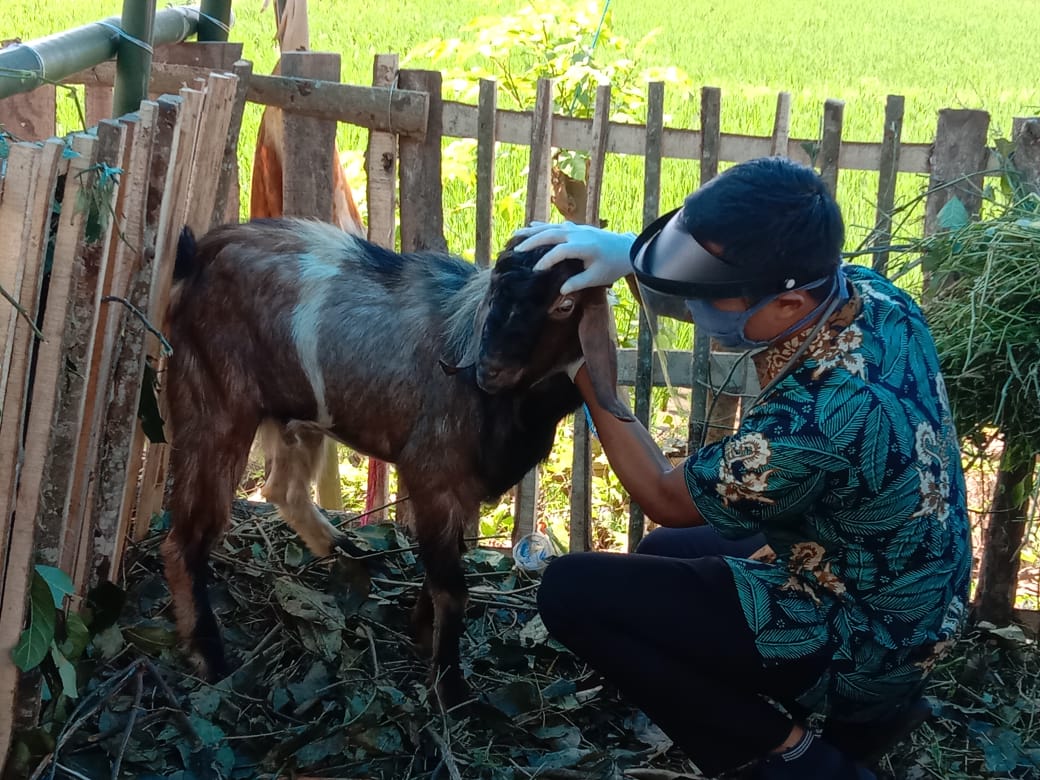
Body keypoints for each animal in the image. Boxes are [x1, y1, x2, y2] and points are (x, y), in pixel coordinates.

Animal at [162, 217, 632, 707]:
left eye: (565, 304)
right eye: (498, 292)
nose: (489, 369)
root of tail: (200, 252)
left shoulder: (460, 491)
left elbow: (447, 563)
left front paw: (422, 631)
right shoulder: (433, 476)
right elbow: (452, 587)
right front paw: (449, 684)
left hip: (297, 415)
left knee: (282, 489)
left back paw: (344, 549)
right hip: (213, 404)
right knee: (187, 538)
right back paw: (209, 656)